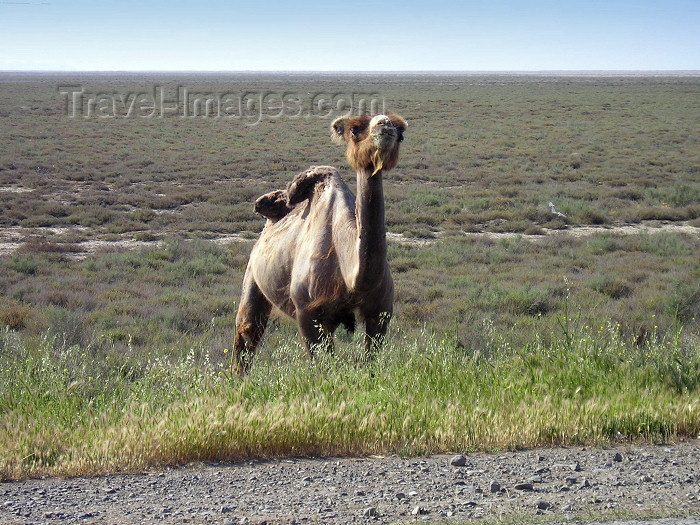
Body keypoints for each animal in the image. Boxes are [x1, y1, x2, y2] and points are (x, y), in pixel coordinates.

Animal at [234, 112, 404, 374]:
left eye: (401, 132)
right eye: (355, 130)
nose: (384, 125)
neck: (352, 277)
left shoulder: (380, 312)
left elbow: (371, 361)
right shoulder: (307, 312)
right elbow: (320, 365)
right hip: (252, 276)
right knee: (247, 330)